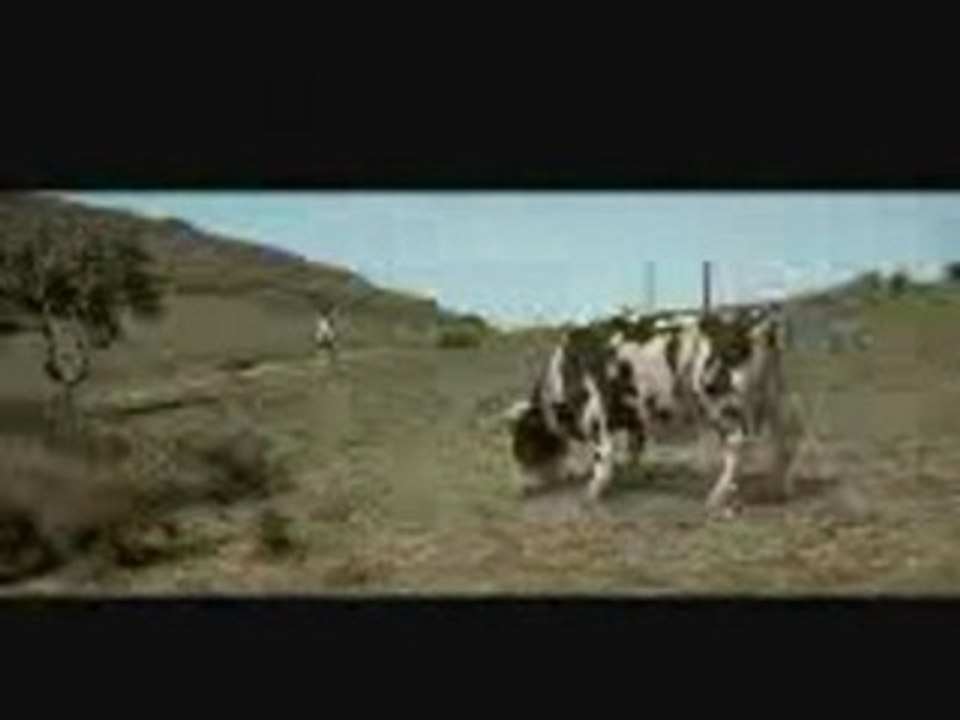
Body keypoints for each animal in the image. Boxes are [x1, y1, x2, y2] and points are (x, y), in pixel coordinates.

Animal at [504, 304, 786, 517]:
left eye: (521, 441)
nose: (521, 489)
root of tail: (752, 325)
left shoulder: (593, 413)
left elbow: (604, 455)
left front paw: (591, 495)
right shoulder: (634, 418)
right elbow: (634, 449)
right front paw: (633, 478)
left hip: (719, 402)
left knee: (737, 444)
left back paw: (716, 496)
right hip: (767, 400)